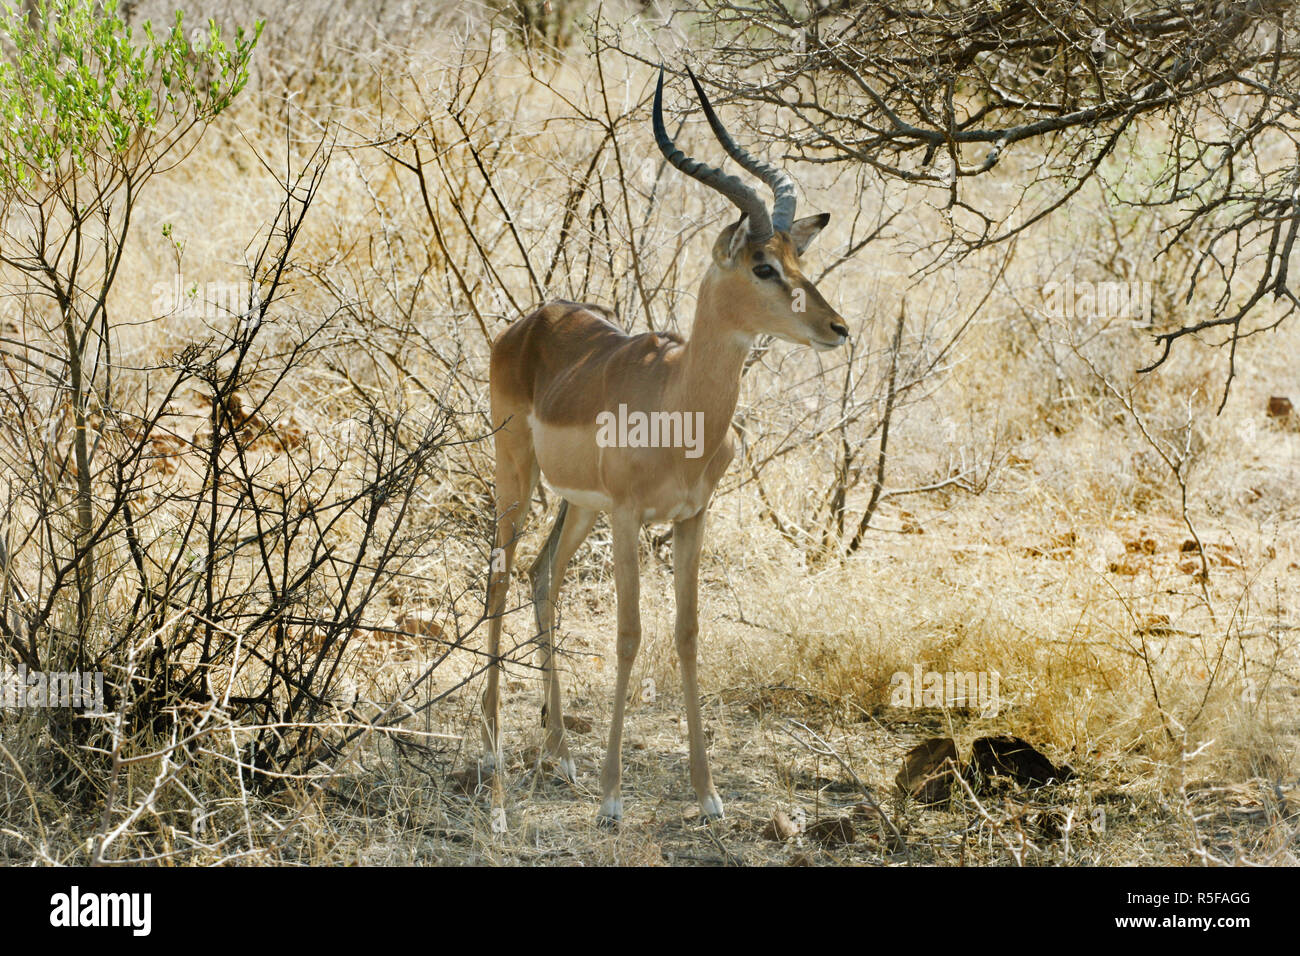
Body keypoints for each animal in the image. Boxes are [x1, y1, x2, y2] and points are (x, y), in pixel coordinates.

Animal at [481, 67, 849, 824]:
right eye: (763, 265)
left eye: (799, 257)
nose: (837, 327)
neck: (679, 405)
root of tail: (531, 320)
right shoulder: (628, 518)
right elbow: (628, 635)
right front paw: (613, 798)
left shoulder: (690, 518)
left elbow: (686, 632)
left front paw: (708, 794)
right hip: (518, 474)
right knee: (500, 577)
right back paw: (495, 755)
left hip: (578, 506)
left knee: (541, 577)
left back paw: (559, 753)